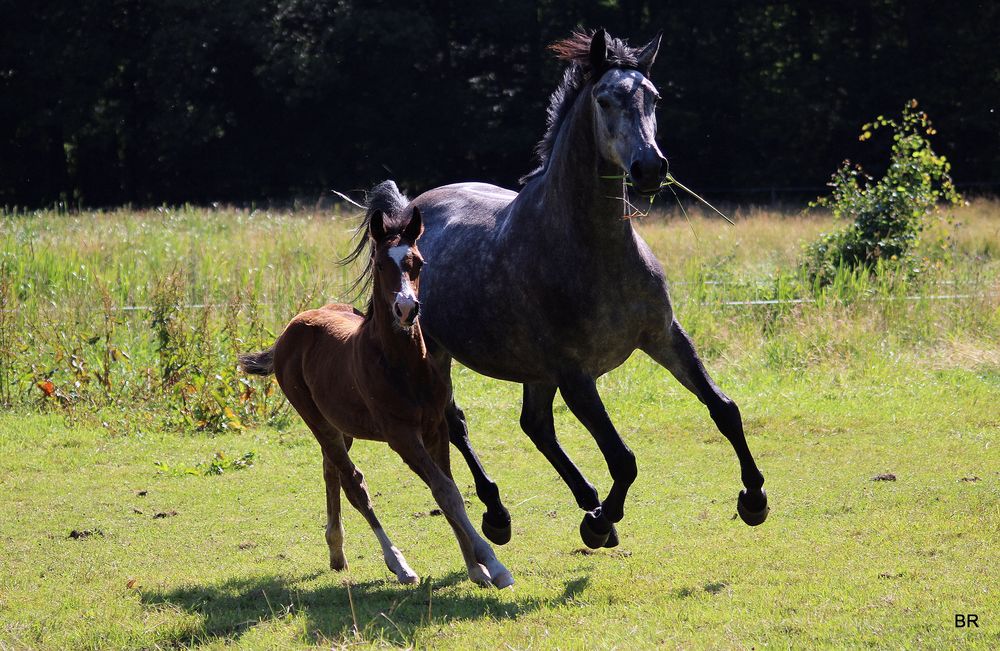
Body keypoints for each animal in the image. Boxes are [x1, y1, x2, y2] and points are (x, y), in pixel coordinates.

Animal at [239, 200, 512, 592]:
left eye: (419, 262)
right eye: (381, 264)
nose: (406, 309)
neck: (402, 366)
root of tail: (291, 328)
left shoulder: (435, 429)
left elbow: (449, 491)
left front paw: (476, 568)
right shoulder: (401, 436)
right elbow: (445, 491)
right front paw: (493, 565)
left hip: (343, 426)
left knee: (331, 470)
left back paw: (337, 552)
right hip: (316, 419)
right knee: (354, 483)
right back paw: (398, 564)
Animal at [402, 30, 768, 552]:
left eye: (654, 97)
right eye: (604, 99)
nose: (650, 168)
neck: (593, 251)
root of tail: (409, 209)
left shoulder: (664, 337)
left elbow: (725, 410)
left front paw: (754, 498)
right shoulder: (575, 374)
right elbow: (623, 458)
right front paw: (599, 523)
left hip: (534, 370)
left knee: (535, 425)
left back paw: (582, 498)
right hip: (436, 351)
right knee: (456, 423)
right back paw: (500, 513)